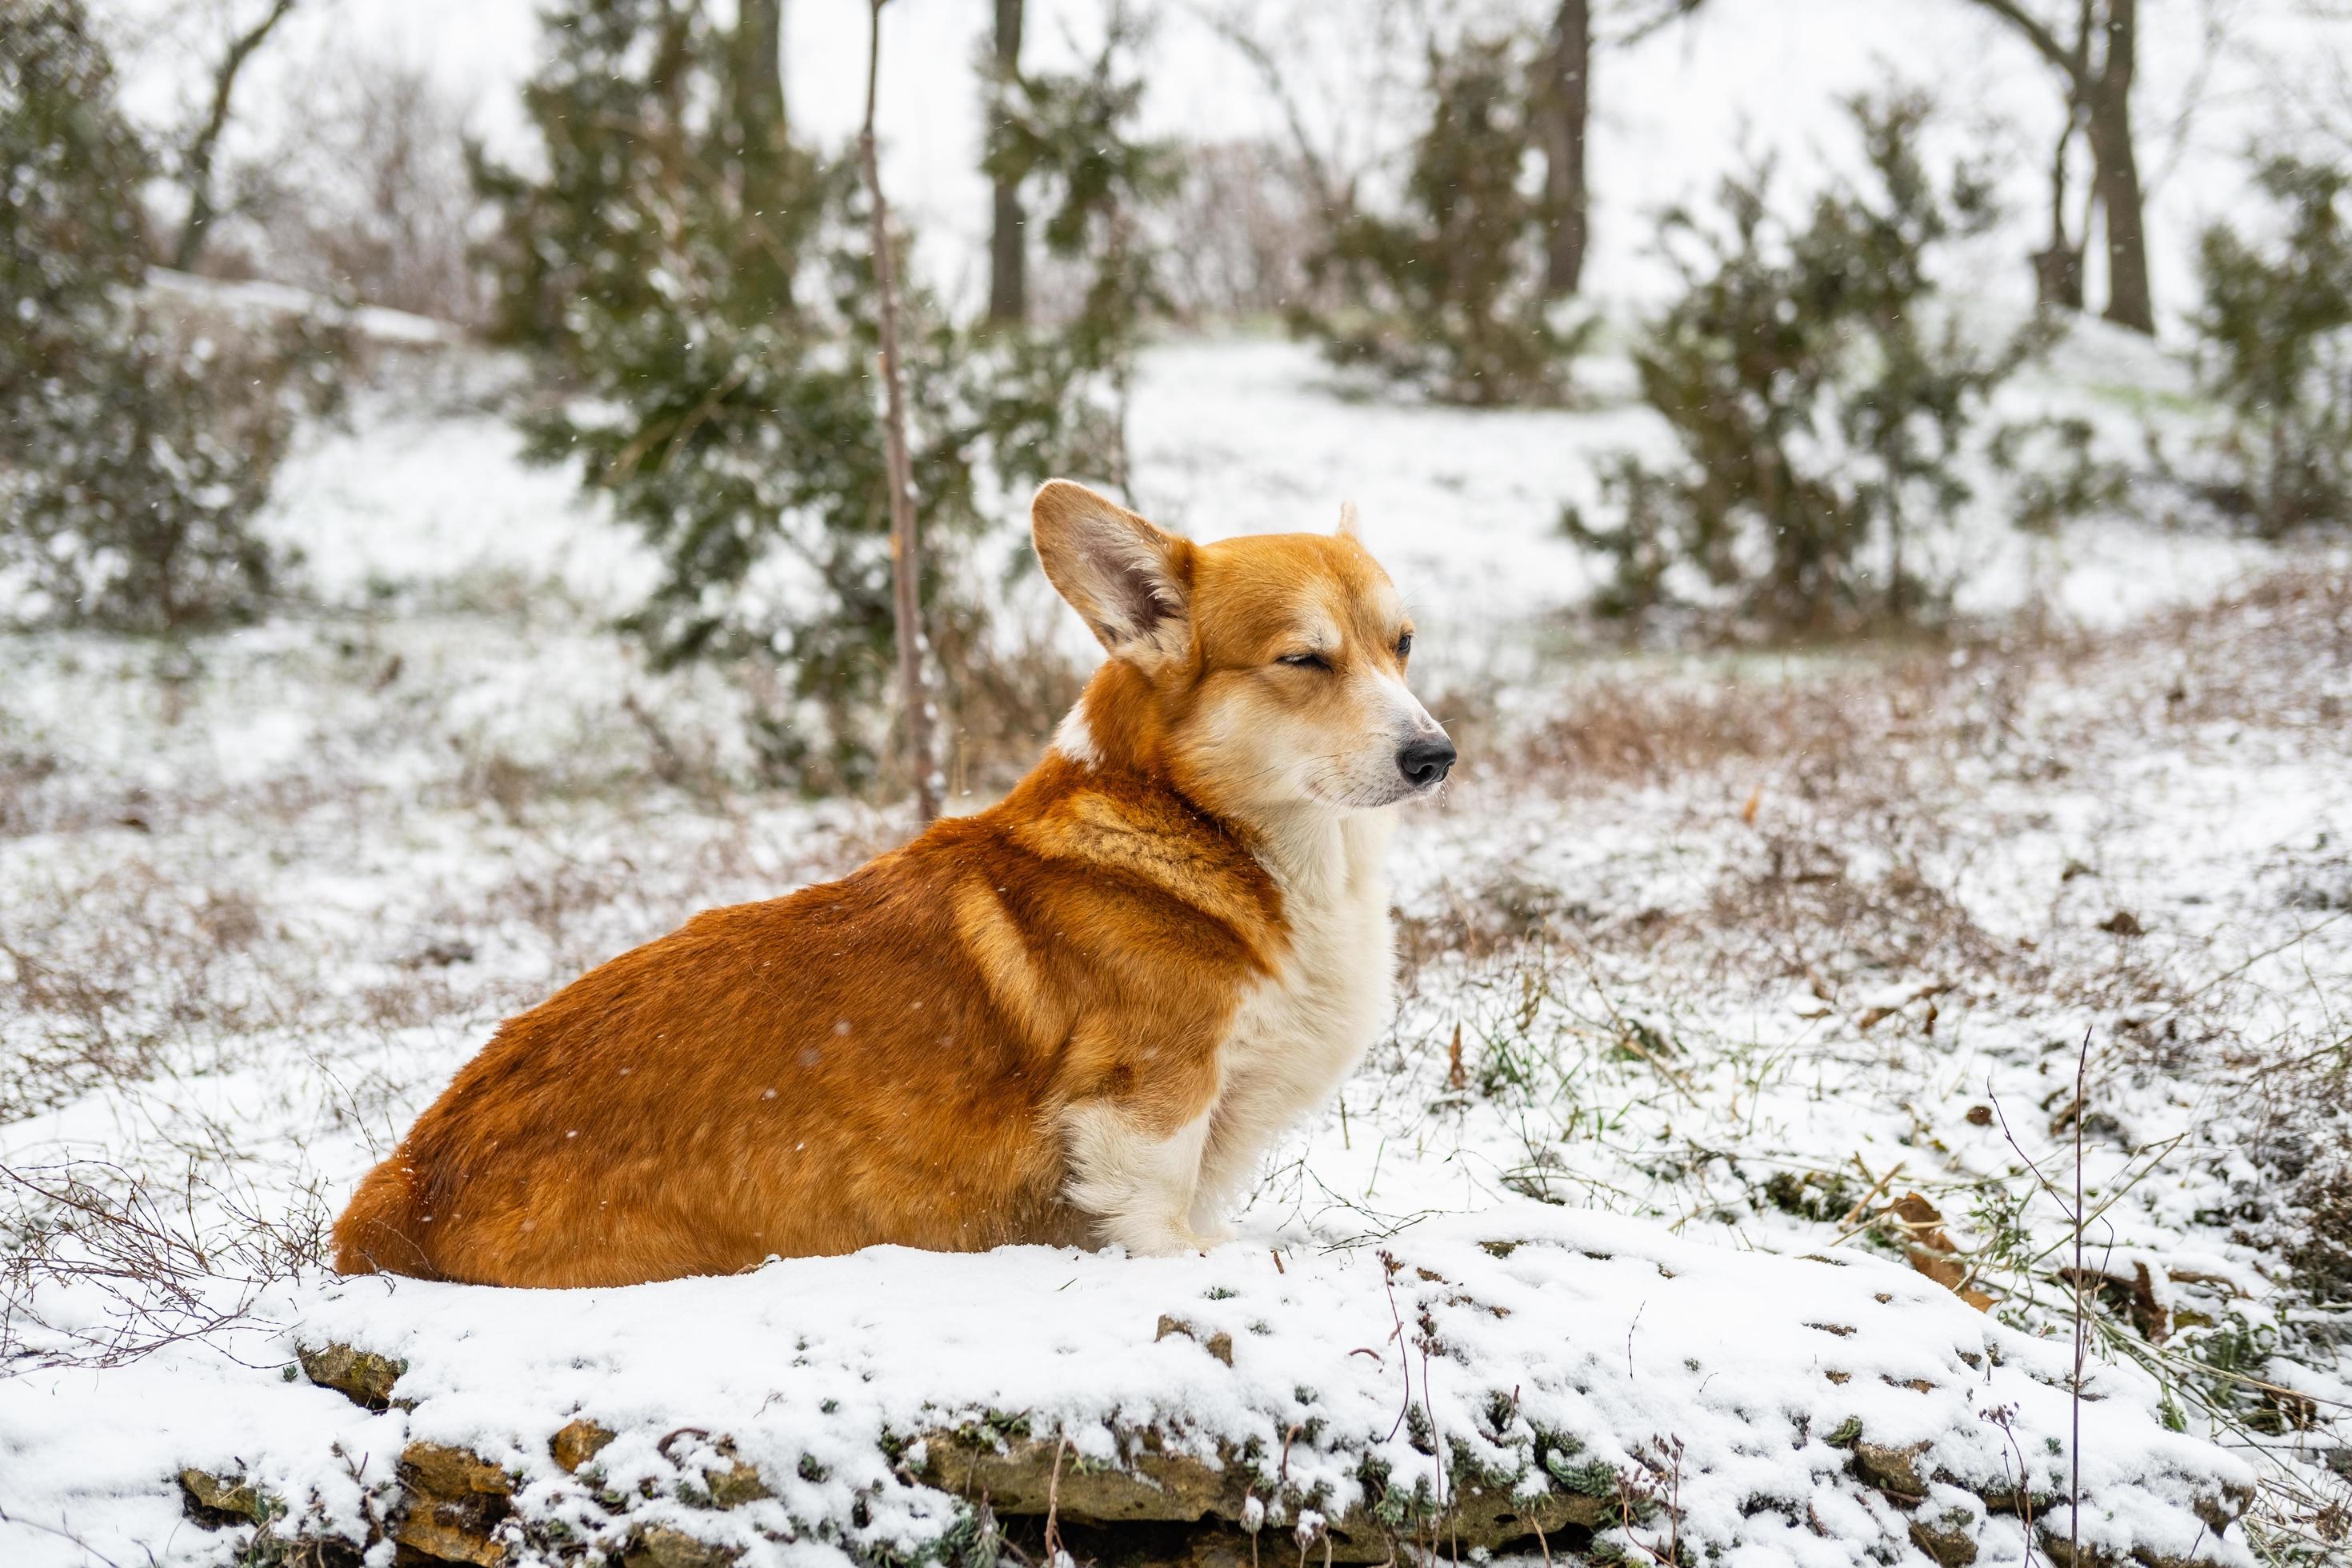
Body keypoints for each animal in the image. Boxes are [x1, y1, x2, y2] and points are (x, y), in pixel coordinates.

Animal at [331, 482, 1449, 1288]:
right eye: (1304, 659)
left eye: (1402, 643)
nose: (1436, 756)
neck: (1205, 827)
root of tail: (405, 1185)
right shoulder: (1148, 1097)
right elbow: (1160, 1216)